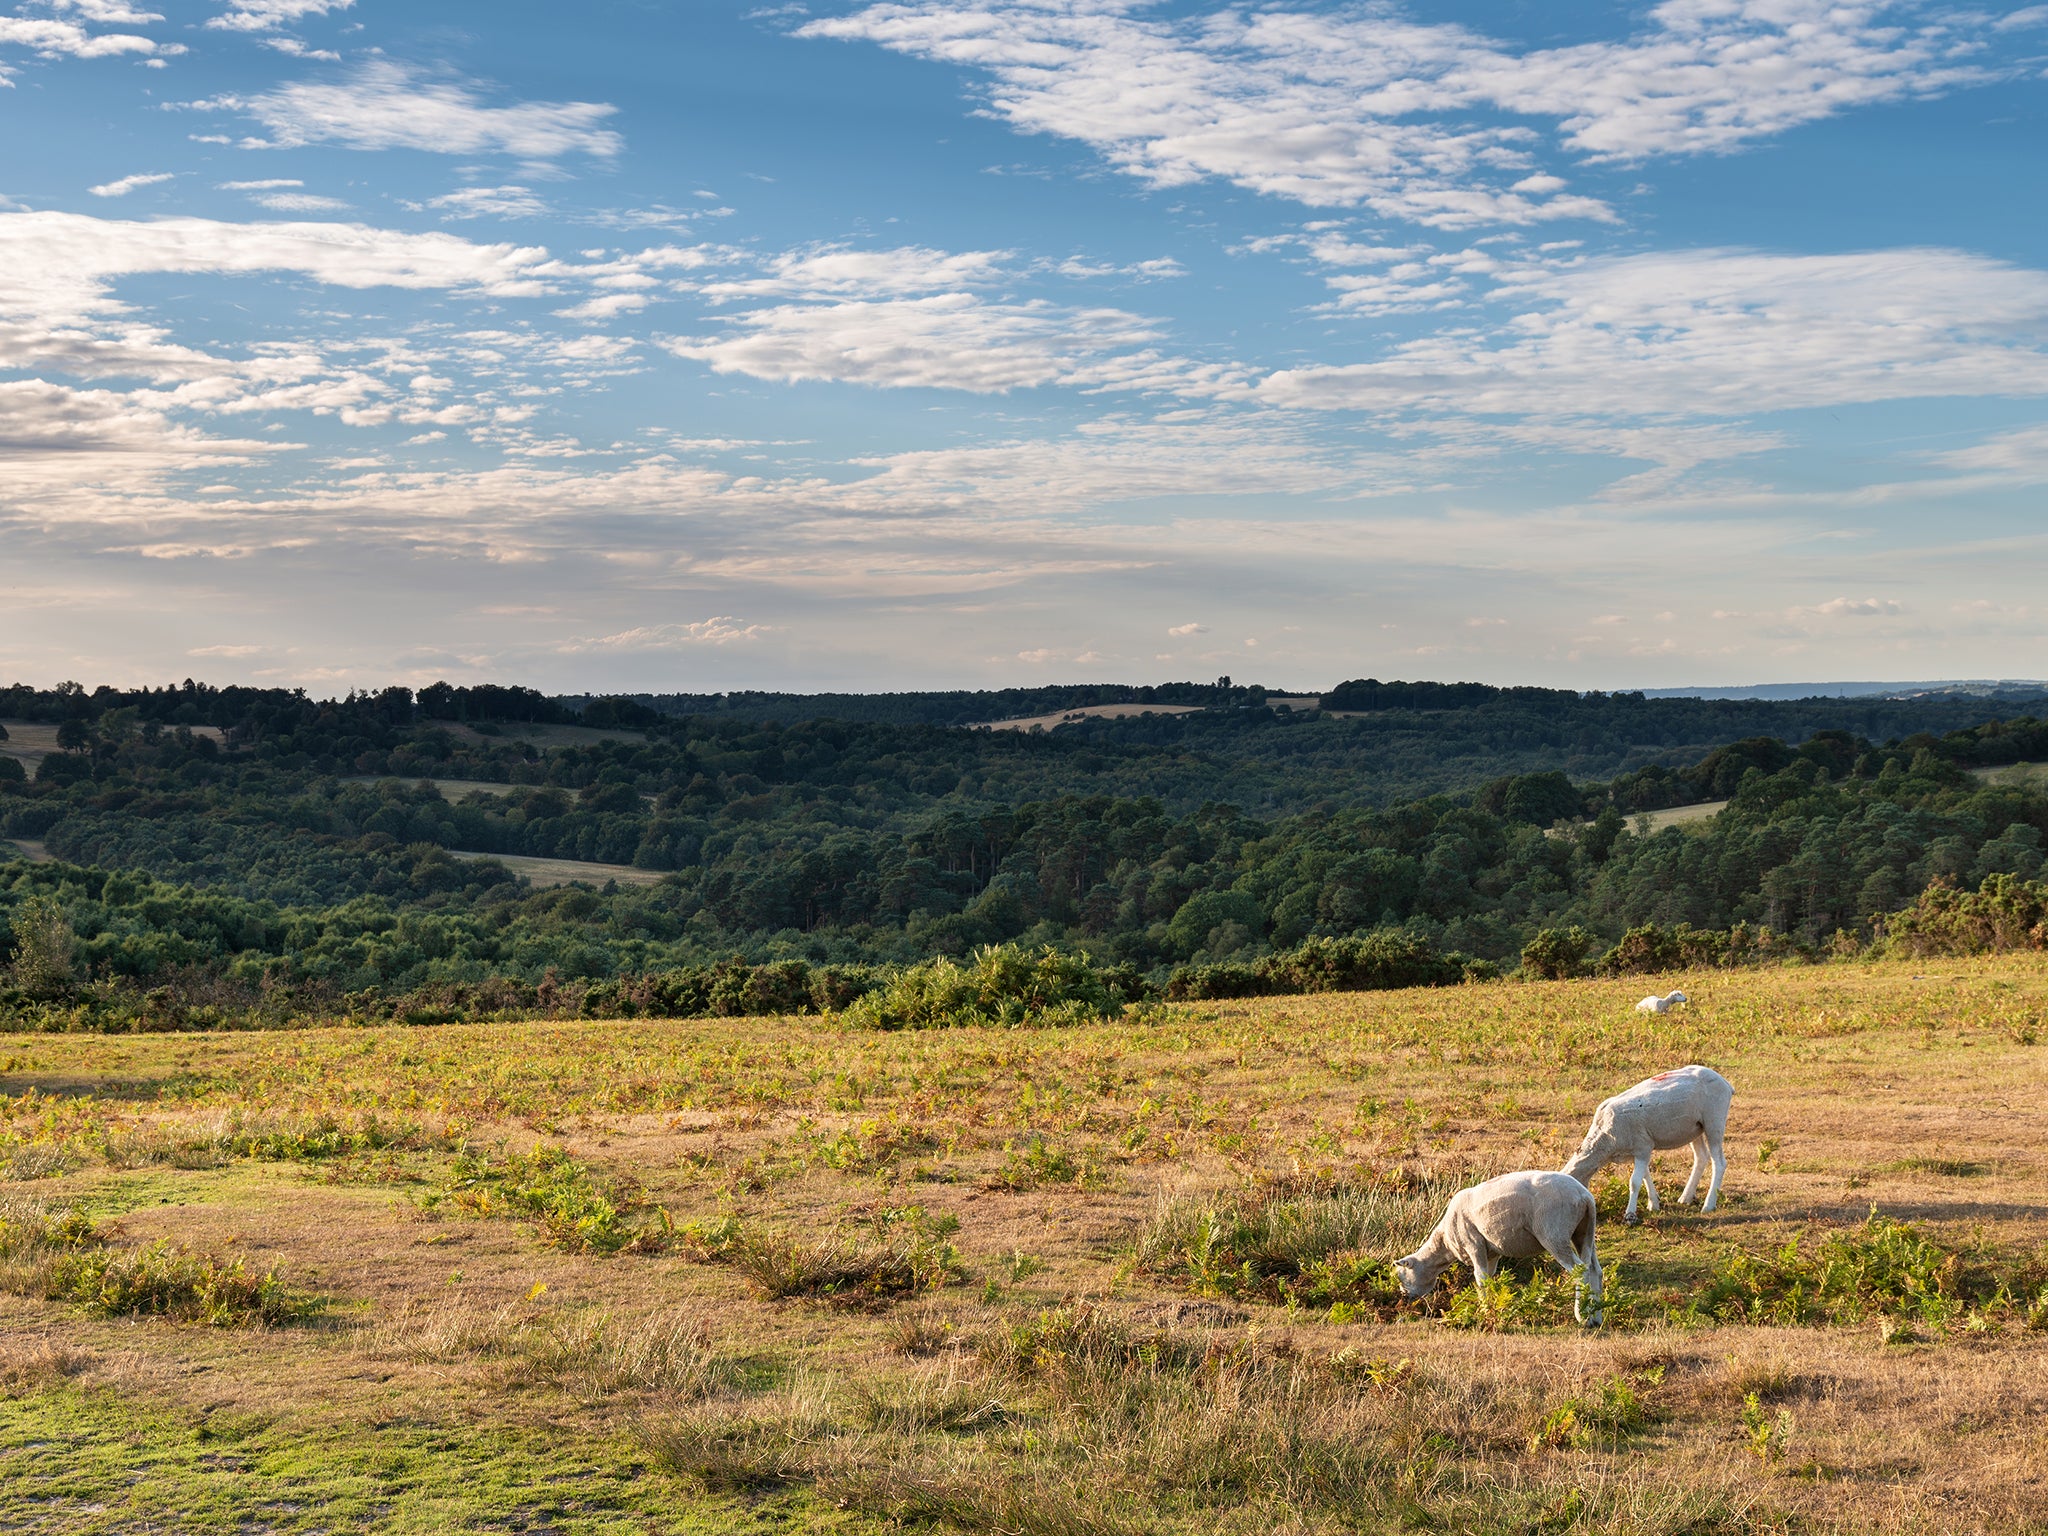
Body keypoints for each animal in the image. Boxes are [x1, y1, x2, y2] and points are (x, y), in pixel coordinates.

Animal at [1400, 1171, 1605, 1327]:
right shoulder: (1492, 1253)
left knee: (1581, 1270)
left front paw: (1483, 1311)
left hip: (1554, 1233)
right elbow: (1490, 1278)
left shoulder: (1473, 1244)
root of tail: (1584, 1196)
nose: (1405, 1299)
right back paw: (1596, 1318)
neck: (1445, 1242)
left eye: (1402, 1275)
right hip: (1584, 1232)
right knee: (1595, 1270)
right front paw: (1491, 1307)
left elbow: (1480, 1279)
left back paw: (1583, 1317)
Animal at [1564, 1073, 1728, 1228]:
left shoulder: (1643, 1146)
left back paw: (1708, 1204)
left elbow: (1635, 1182)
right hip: (1694, 1130)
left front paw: (1630, 1216)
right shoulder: (1637, 1151)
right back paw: (1686, 1197)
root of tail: (1724, 1082)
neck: (1604, 1139)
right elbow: (1645, 1175)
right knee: (1701, 1157)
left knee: (1719, 1163)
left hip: (1714, 1121)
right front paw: (1654, 1203)